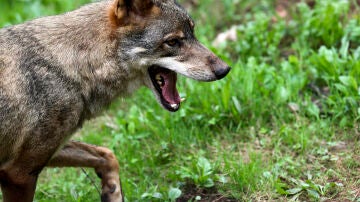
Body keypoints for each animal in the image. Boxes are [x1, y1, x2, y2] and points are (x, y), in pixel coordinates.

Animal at [0, 0, 231, 201]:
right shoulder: (18, 172)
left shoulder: (41, 154)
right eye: (173, 42)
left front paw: (111, 191)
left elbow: (107, 154)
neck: (74, 65)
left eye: (193, 33)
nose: (224, 70)